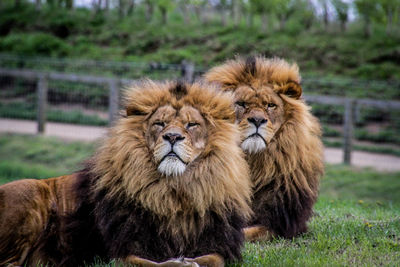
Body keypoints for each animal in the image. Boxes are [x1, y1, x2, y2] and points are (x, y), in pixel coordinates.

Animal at [0, 80, 252, 266]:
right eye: (160, 123)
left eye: (192, 125)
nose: (172, 137)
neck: (173, 192)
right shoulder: (120, 252)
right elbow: (149, 264)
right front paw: (179, 262)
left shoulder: (218, 244)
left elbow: (214, 259)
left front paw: (190, 261)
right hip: (27, 193)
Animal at [205, 56, 324, 243]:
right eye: (241, 104)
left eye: (270, 105)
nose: (257, 120)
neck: (255, 162)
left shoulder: (282, 224)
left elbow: (249, 232)